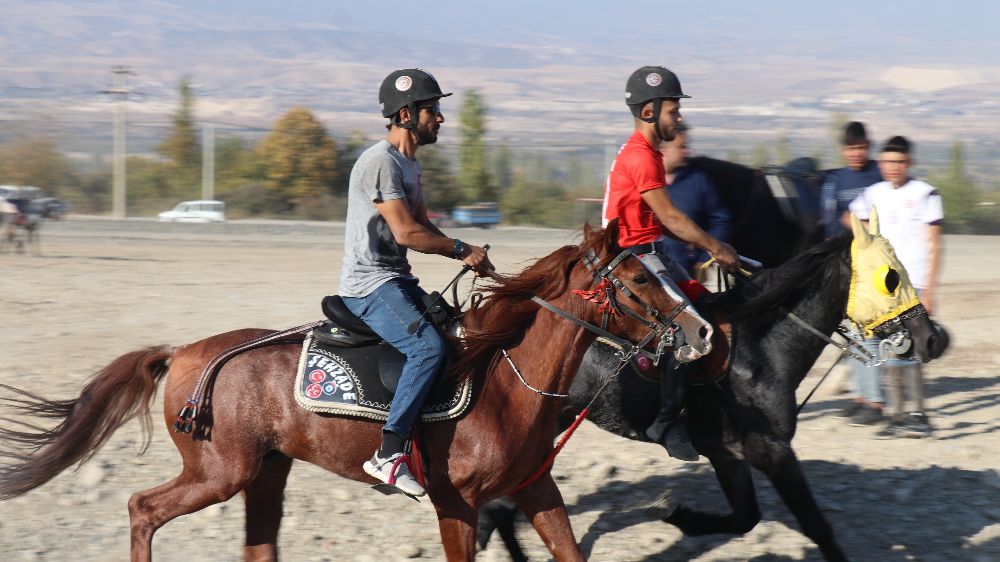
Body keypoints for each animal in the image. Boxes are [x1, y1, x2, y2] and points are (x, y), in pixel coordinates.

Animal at [0, 223, 708, 560]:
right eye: (640, 280)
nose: (701, 332)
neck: (506, 382)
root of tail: (184, 353)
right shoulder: (456, 503)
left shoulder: (536, 489)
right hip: (219, 472)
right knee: (142, 508)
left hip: (265, 472)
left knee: (258, 545)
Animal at [476, 221, 944, 556]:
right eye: (890, 277)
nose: (931, 338)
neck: (761, 351)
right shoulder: (771, 451)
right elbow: (816, 526)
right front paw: (674, 512)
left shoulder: (729, 454)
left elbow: (745, 518)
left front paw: (679, 515)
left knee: (502, 504)